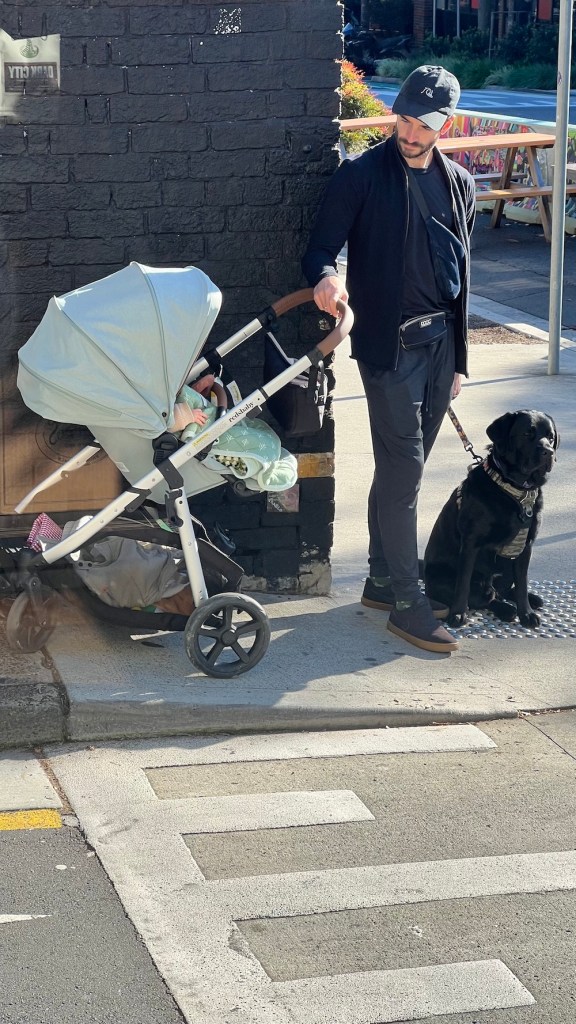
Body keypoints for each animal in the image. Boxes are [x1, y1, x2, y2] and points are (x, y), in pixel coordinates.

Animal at [422, 411, 557, 626]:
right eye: (527, 434)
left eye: (551, 437)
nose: (549, 452)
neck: (515, 491)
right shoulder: (471, 544)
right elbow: (463, 584)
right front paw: (458, 614)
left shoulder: (526, 545)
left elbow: (522, 583)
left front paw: (526, 613)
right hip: (444, 578)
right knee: (485, 597)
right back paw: (505, 609)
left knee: (502, 590)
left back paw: (529, 600)